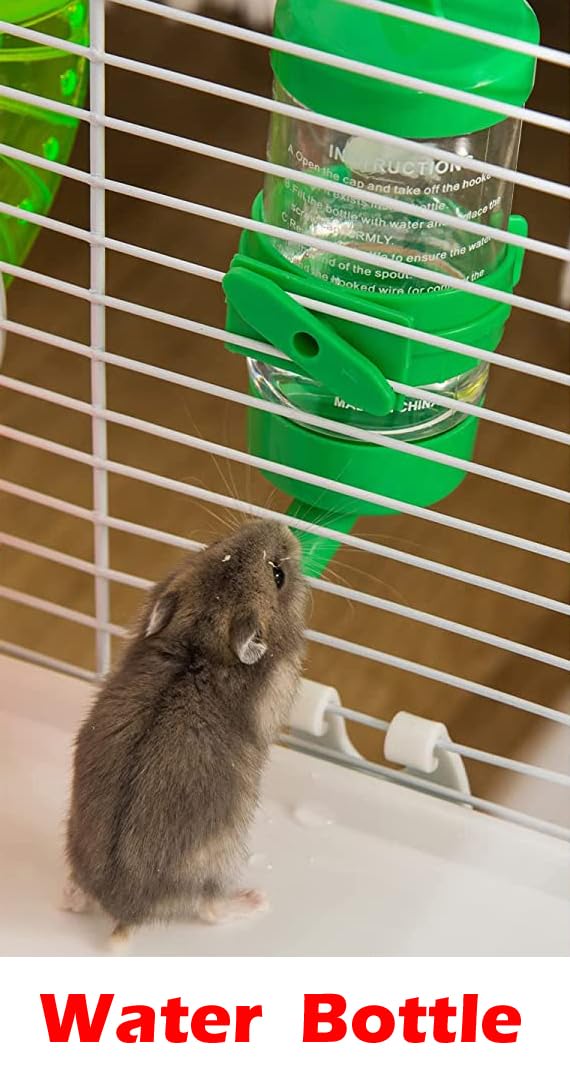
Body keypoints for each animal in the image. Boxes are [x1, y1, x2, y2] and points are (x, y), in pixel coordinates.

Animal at [64, 519, 307, 945]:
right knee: (210, 910)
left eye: (213, 541)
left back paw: (71, 894)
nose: (284, 524)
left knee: (77, 898)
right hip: (216, 868)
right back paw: (254, 900)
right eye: (278, 575)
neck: (201, 638)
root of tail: (124, 912)